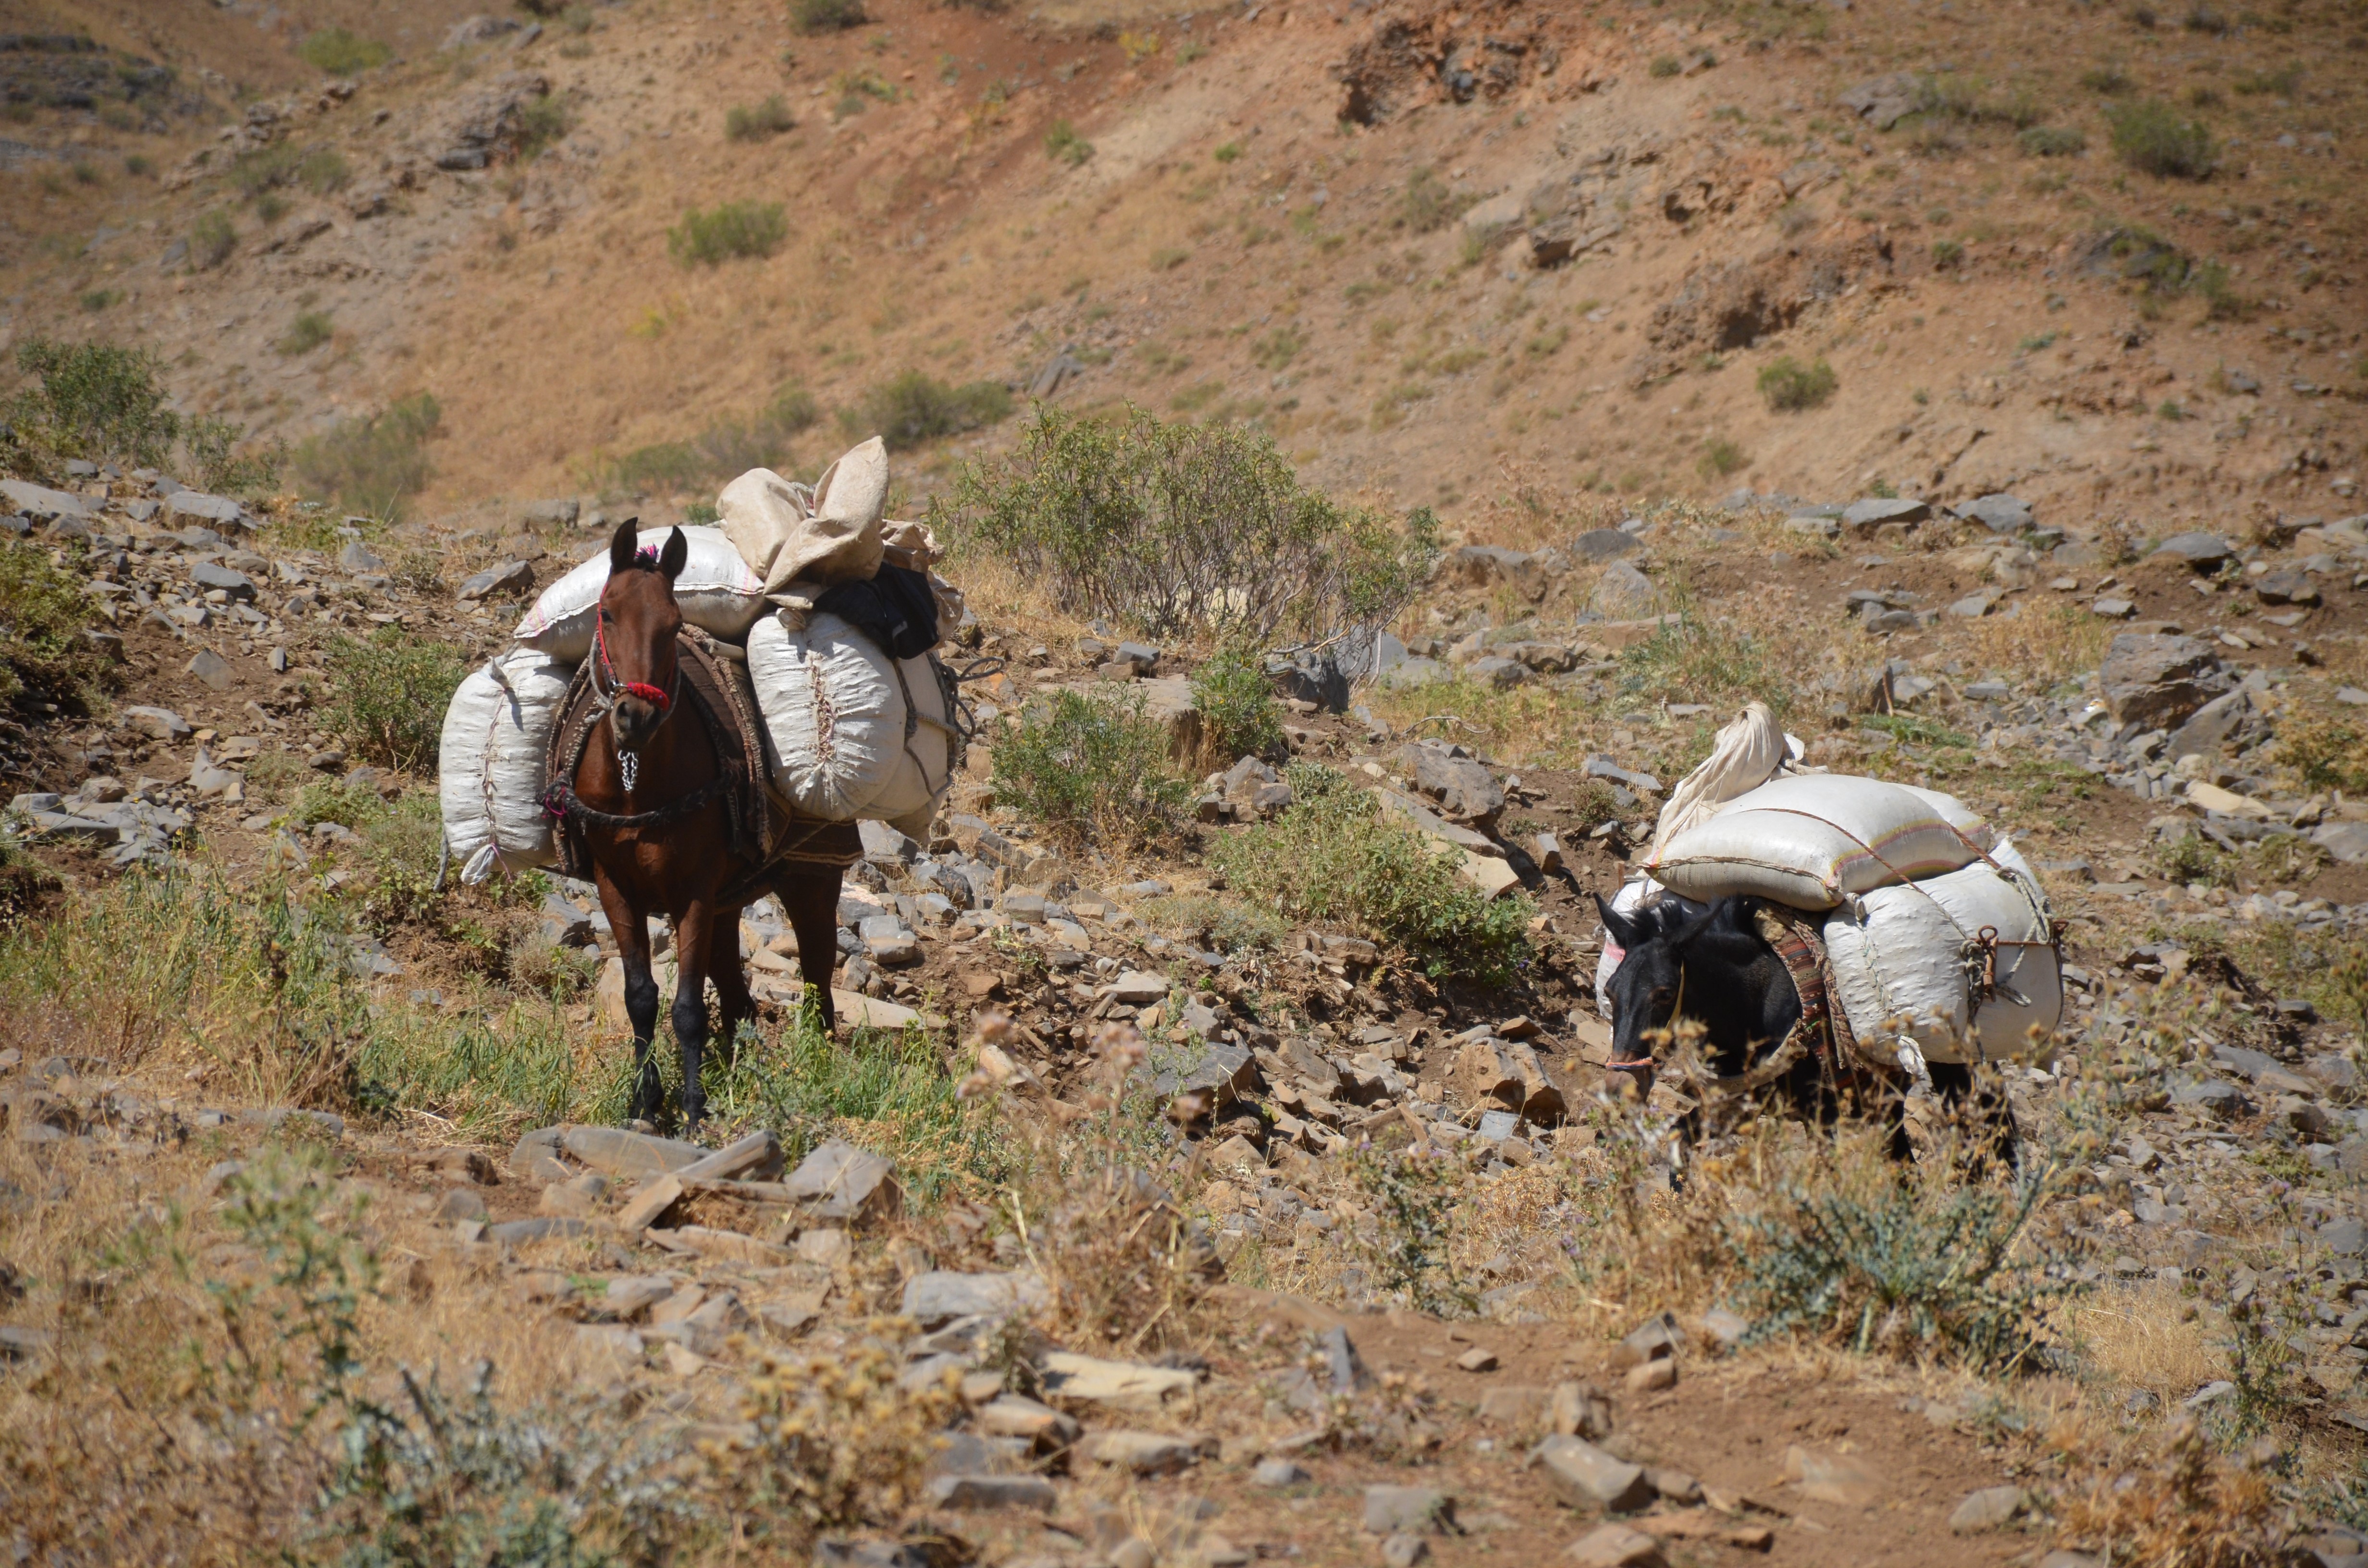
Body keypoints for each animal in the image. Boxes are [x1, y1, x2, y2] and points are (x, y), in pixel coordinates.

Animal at [554, 526, 852, 1132]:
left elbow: (689, 1007)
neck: (637, 786)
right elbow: (641, 997)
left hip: (809, 881)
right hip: (727, 901)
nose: (635, 718)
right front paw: (645, 1103)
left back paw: (814, 1065)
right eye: (606, 612)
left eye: (673, 624)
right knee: (739, 999)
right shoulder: (616, 888)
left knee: (816, 981)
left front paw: (692, 1110)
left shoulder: (692, 891)